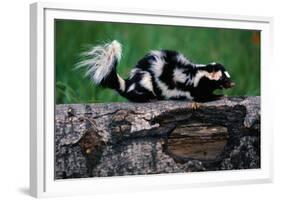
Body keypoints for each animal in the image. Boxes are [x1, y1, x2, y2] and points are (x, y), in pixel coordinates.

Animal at [76, 40, 234, 102]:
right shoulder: (195, 86)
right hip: (145, 78)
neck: (200, 72)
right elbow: (201, 97)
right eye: (223, 78)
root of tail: (128, 83)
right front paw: (219, 96)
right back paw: (150, 98)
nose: (232, 84)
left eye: (228, 76)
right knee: (139, 92)